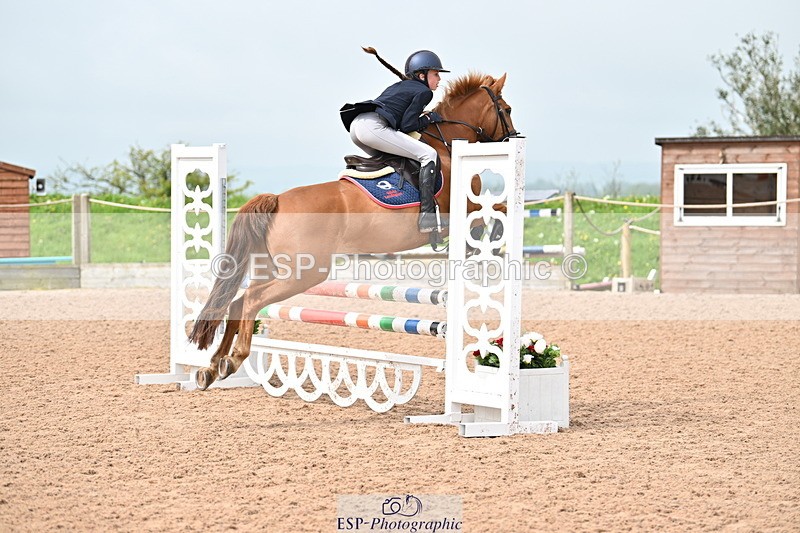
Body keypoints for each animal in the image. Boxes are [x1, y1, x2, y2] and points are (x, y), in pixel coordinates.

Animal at [188, 71, 520, 390]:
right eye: (506, 109)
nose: (512, 139)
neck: (447, 145)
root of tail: (278, 200)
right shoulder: (466, 208)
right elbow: (500, 210)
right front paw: (486, 243)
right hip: (304, 273)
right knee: (253, 299)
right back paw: (233, 359)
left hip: (275, 268)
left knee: (238, 301)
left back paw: (212, 367)